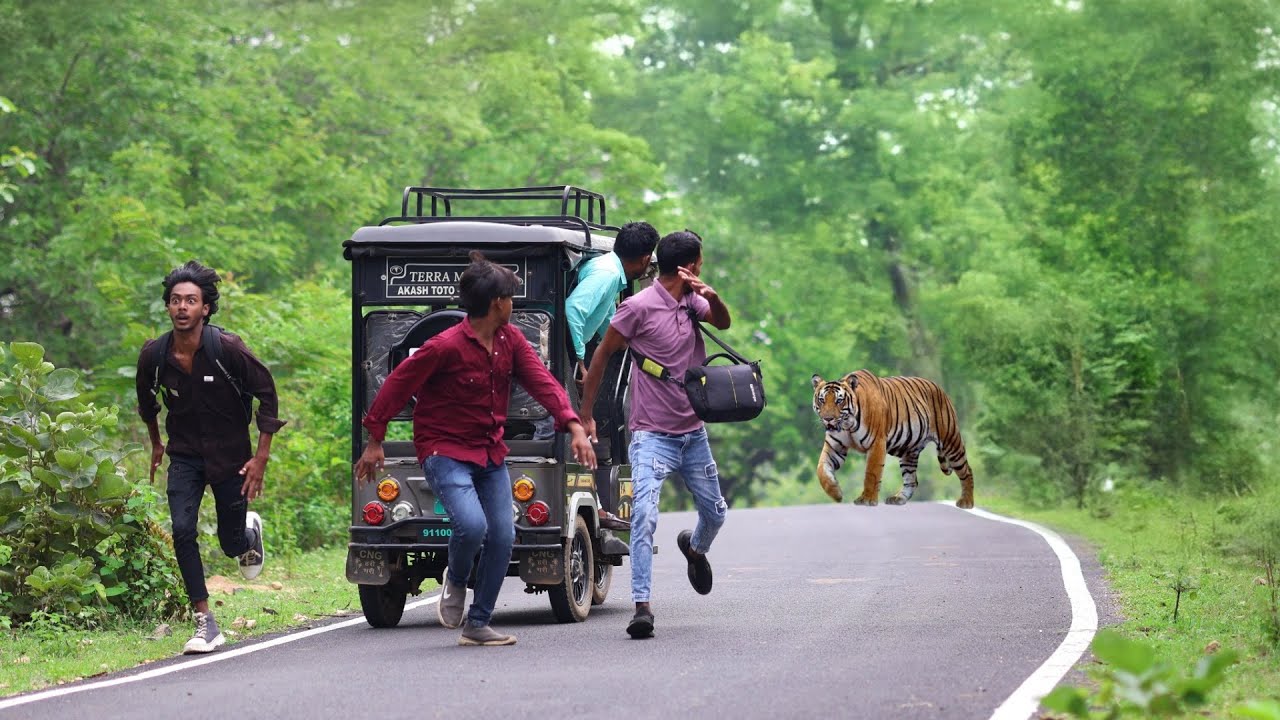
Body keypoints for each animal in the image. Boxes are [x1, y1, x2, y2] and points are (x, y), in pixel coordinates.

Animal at [811, 370, 975, 509]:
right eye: (822, 400)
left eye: (839, 401)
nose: (828, 419)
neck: (847, 425)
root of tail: (940, 388)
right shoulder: (834, 447)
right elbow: (821, 469)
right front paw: (836, 493)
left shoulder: (876, 443)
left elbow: (872, 473)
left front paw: (867, 499)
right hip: (909, 451)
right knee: (912, 480)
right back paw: (898, 498)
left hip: (950, 441)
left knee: (966, 471)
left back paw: (966, 502)